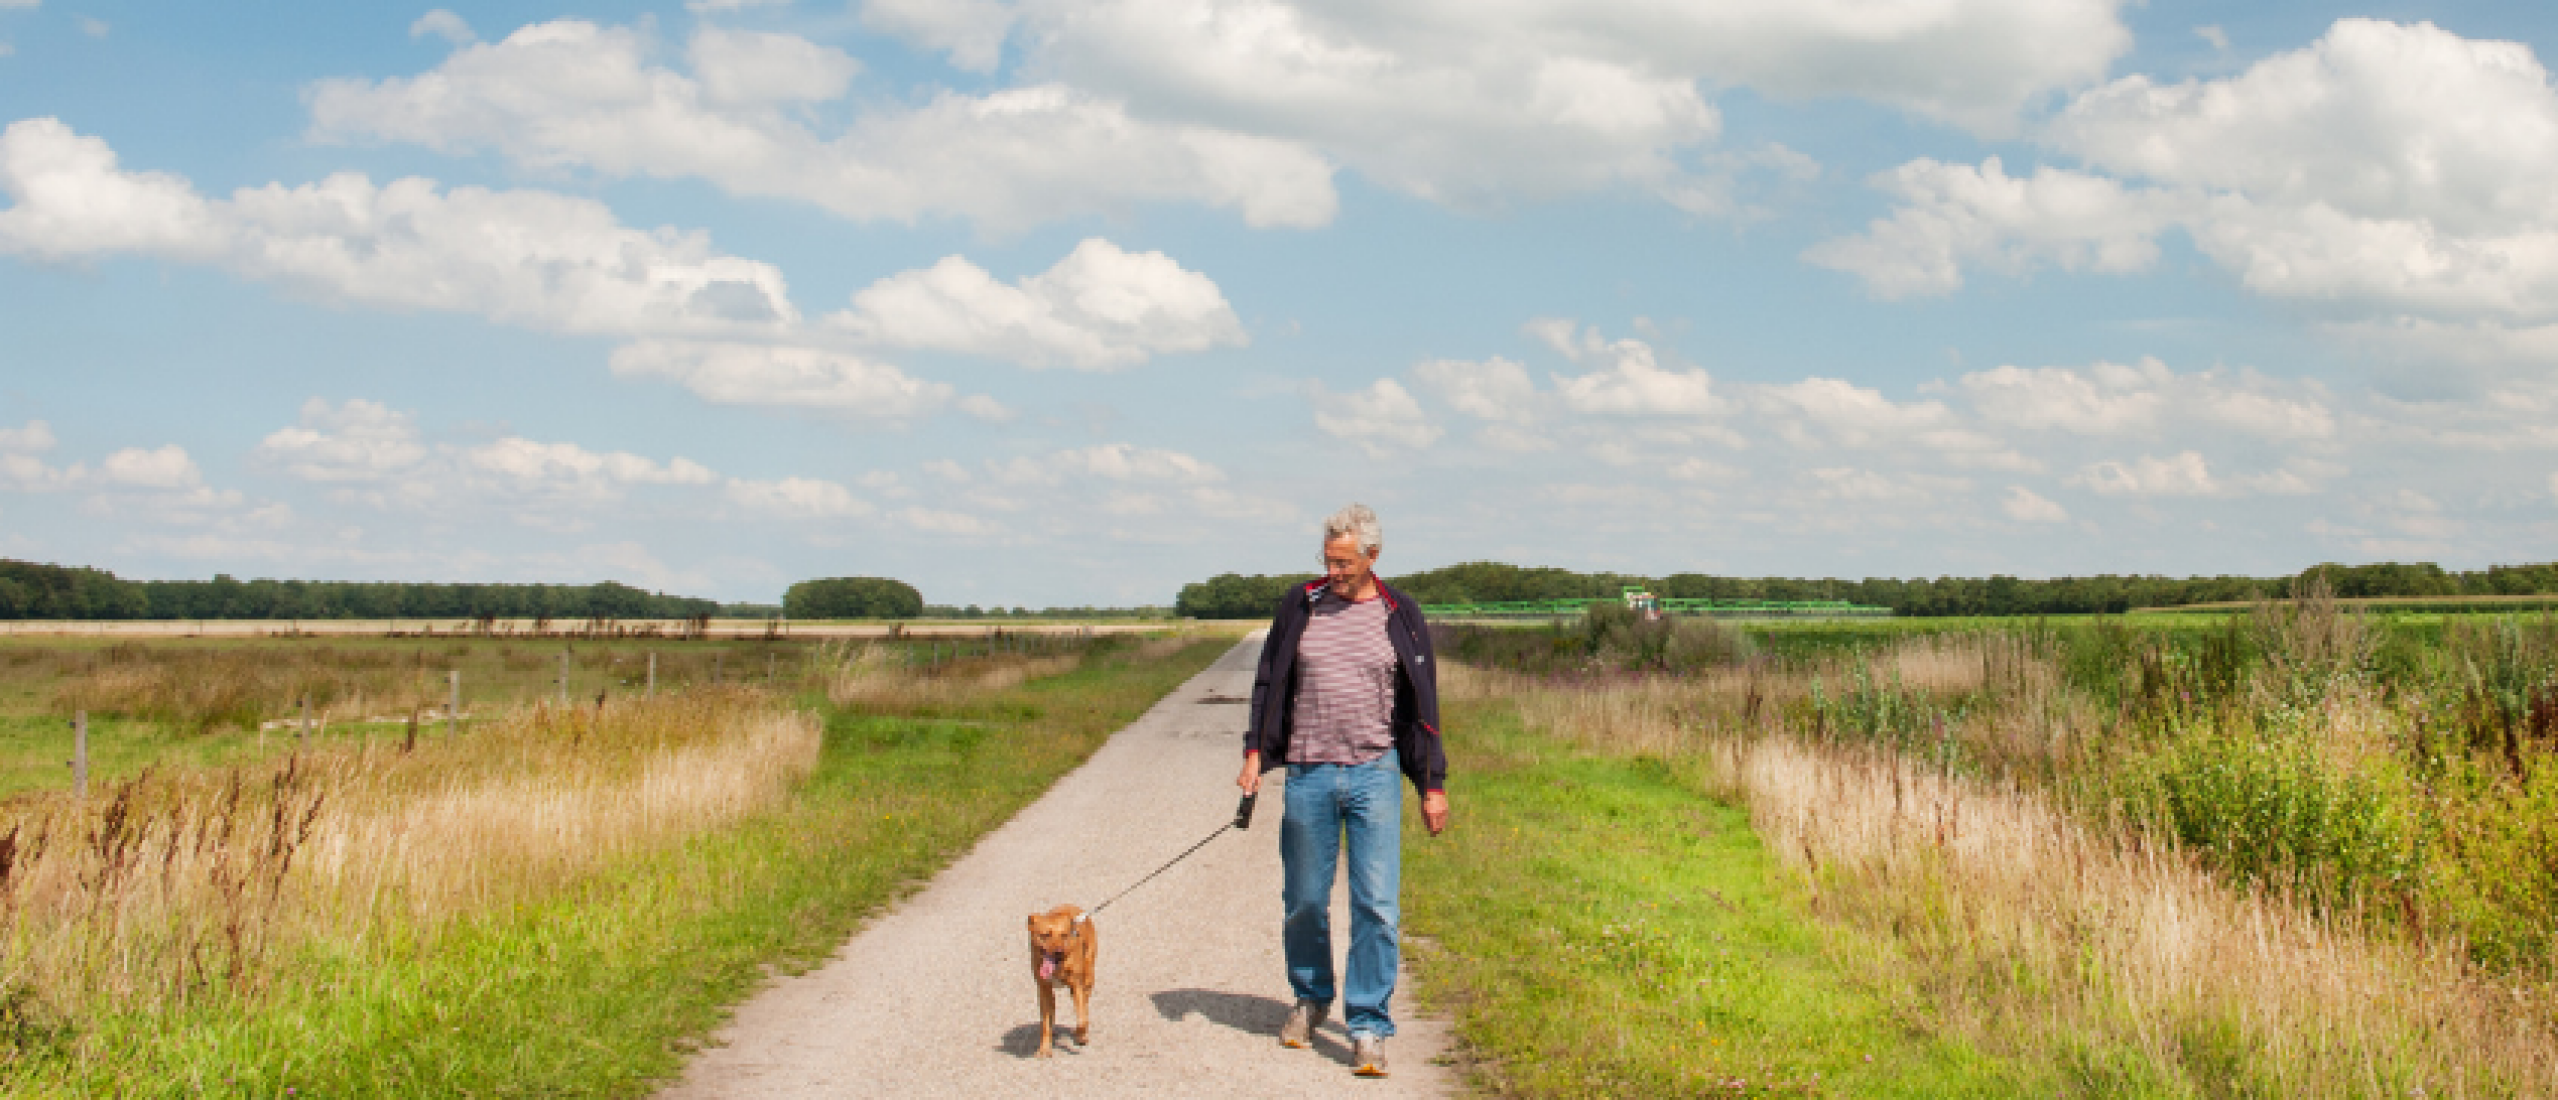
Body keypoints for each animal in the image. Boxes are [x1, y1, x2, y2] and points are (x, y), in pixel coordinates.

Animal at [1023, 900, 1094, 1059]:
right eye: (1045, 935)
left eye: (1064, 935)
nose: (1059, 951)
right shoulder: (1044, 989)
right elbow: (1045, 1024)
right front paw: (1044, 1048)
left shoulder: (1077, 986)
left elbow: (1082, 1019)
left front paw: (1080, 1035)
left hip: (1088, 979)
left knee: (1085, 1006)